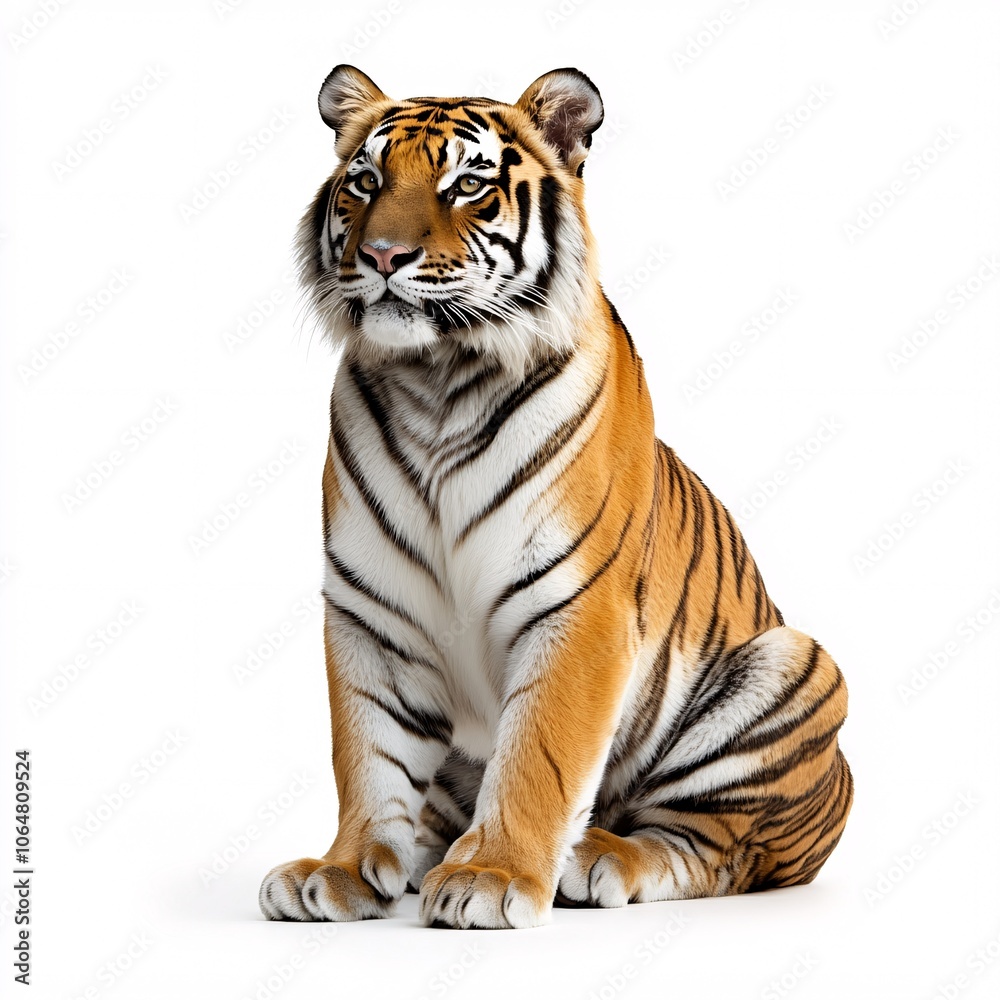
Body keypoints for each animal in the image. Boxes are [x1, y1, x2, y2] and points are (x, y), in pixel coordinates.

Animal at [258, 65, 853, 929]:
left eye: (468, 185)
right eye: (365, 181)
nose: (381, 254)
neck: (438, 381)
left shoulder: (579, 606)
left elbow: (539, 753)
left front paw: (493, 876)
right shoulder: (372, 610)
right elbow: (367, 753)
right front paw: (340, 870)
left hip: (794, 667)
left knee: (721, 845)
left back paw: (599, 856)